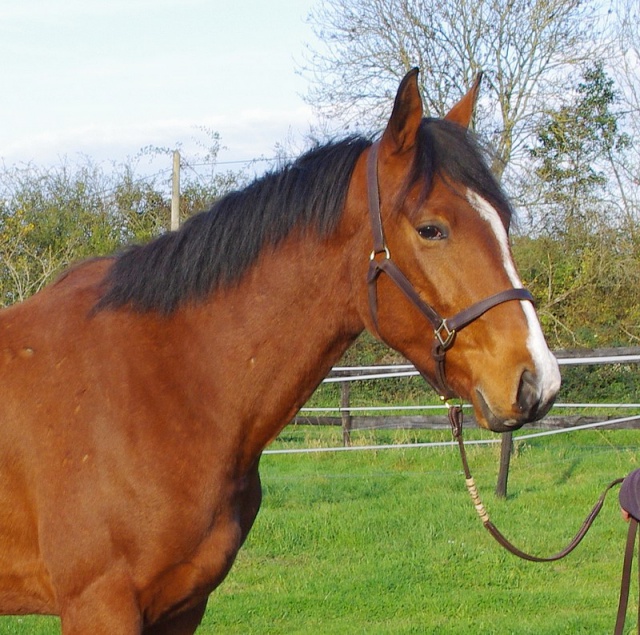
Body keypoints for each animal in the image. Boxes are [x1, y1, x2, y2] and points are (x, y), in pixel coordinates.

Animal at [0, 67, 560, 632]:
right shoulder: (99, 605)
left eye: (504, 221)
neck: (165, 385)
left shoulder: (182, 605)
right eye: (431, 228)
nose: (536, 381)